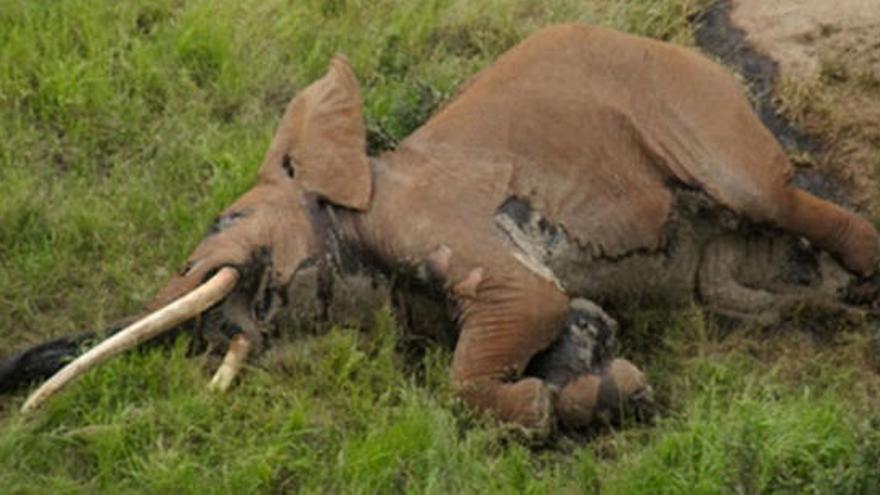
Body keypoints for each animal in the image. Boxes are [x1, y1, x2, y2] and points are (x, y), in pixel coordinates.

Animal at [1, 22, 880, 434]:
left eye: (228, 220)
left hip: (693, 104)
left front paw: (567, 400)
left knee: (768, 194)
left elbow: (520, 313)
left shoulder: (434, 215)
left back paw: (864, 276)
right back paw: (821, 298)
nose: (217, 330)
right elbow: (569, 316)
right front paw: (604, 384)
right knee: (735, 288)